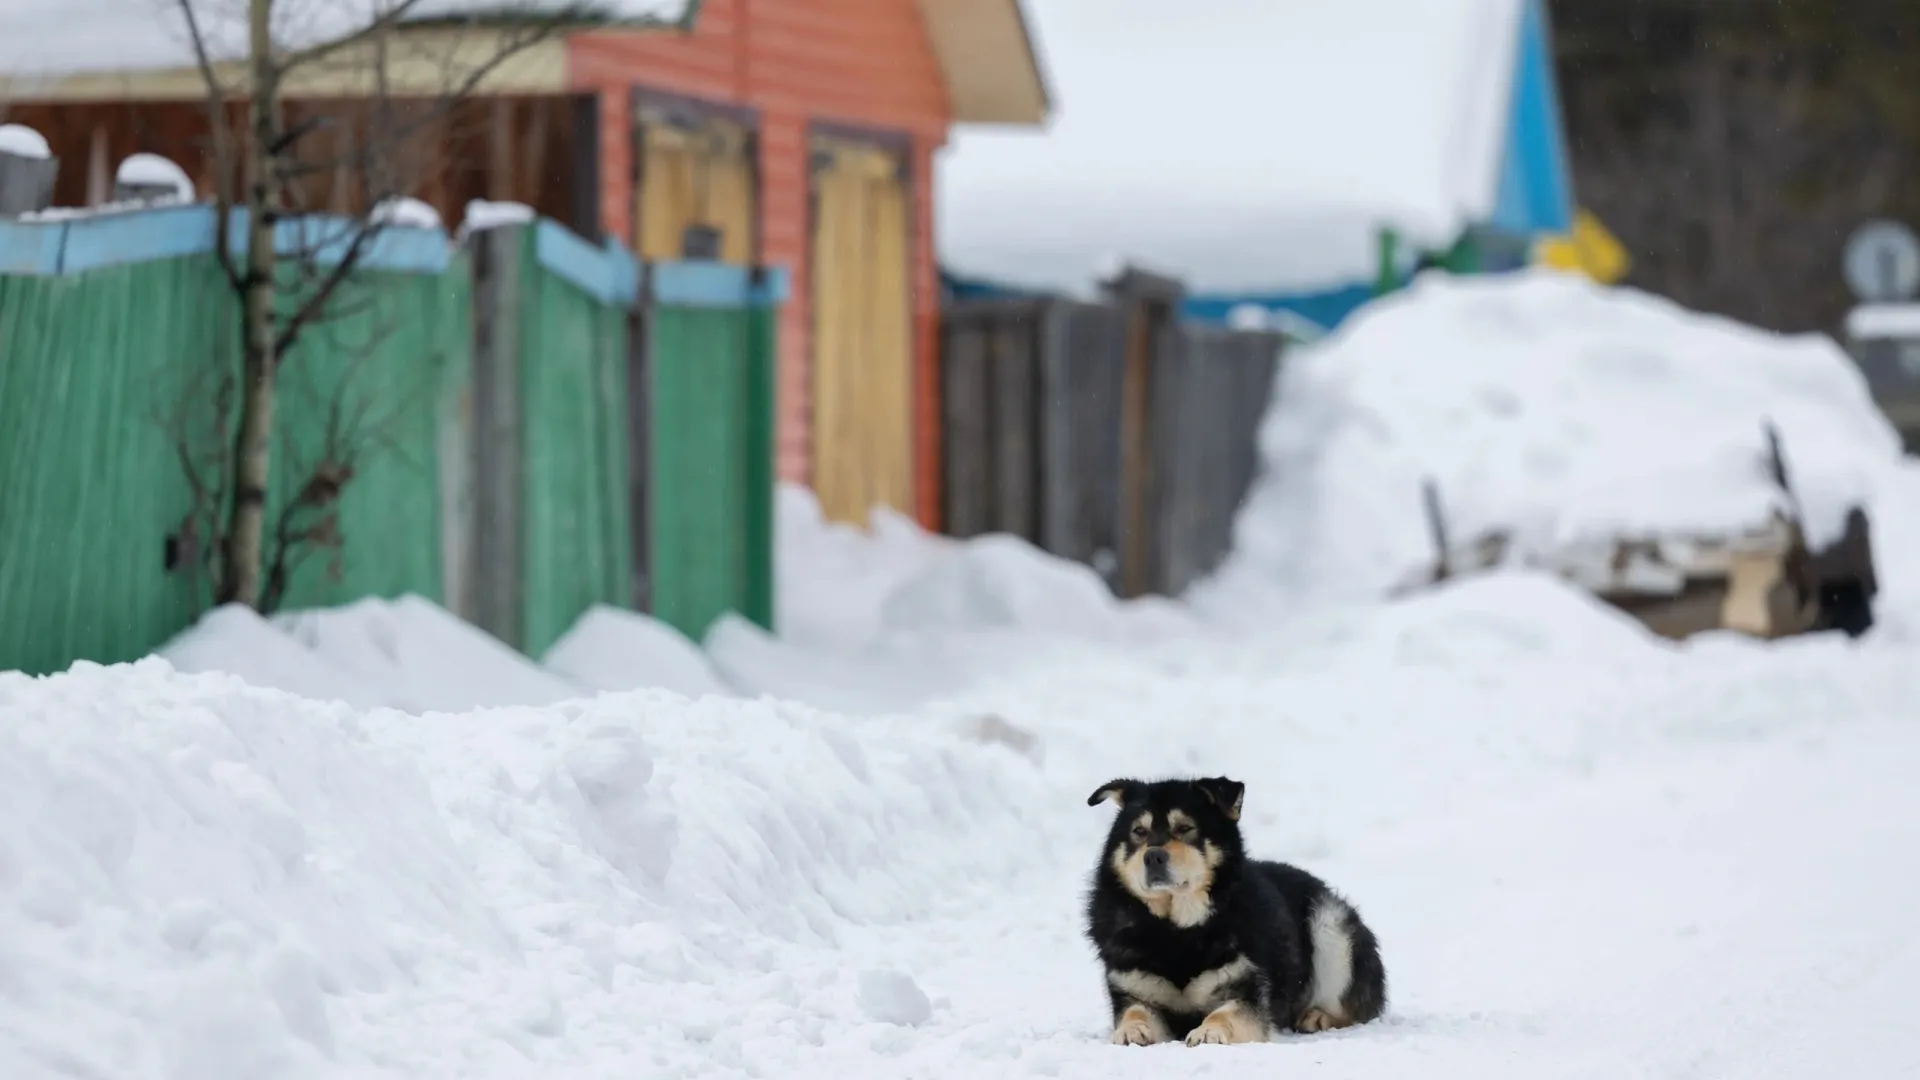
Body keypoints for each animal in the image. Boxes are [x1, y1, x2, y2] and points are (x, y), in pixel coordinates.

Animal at [1082, 772, 1382, 1045]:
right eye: (1139, 832)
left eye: (1185, 828)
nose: (1153, 856)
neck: (1177, 931)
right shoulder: (1135, 989)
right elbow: (1134, 1011)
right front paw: (1130, 1029)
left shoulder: (1244, 991)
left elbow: (1225, 1014)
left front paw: (1208, 1031)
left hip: (1330, 929)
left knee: (1354, 1007)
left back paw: (1319, 1017)